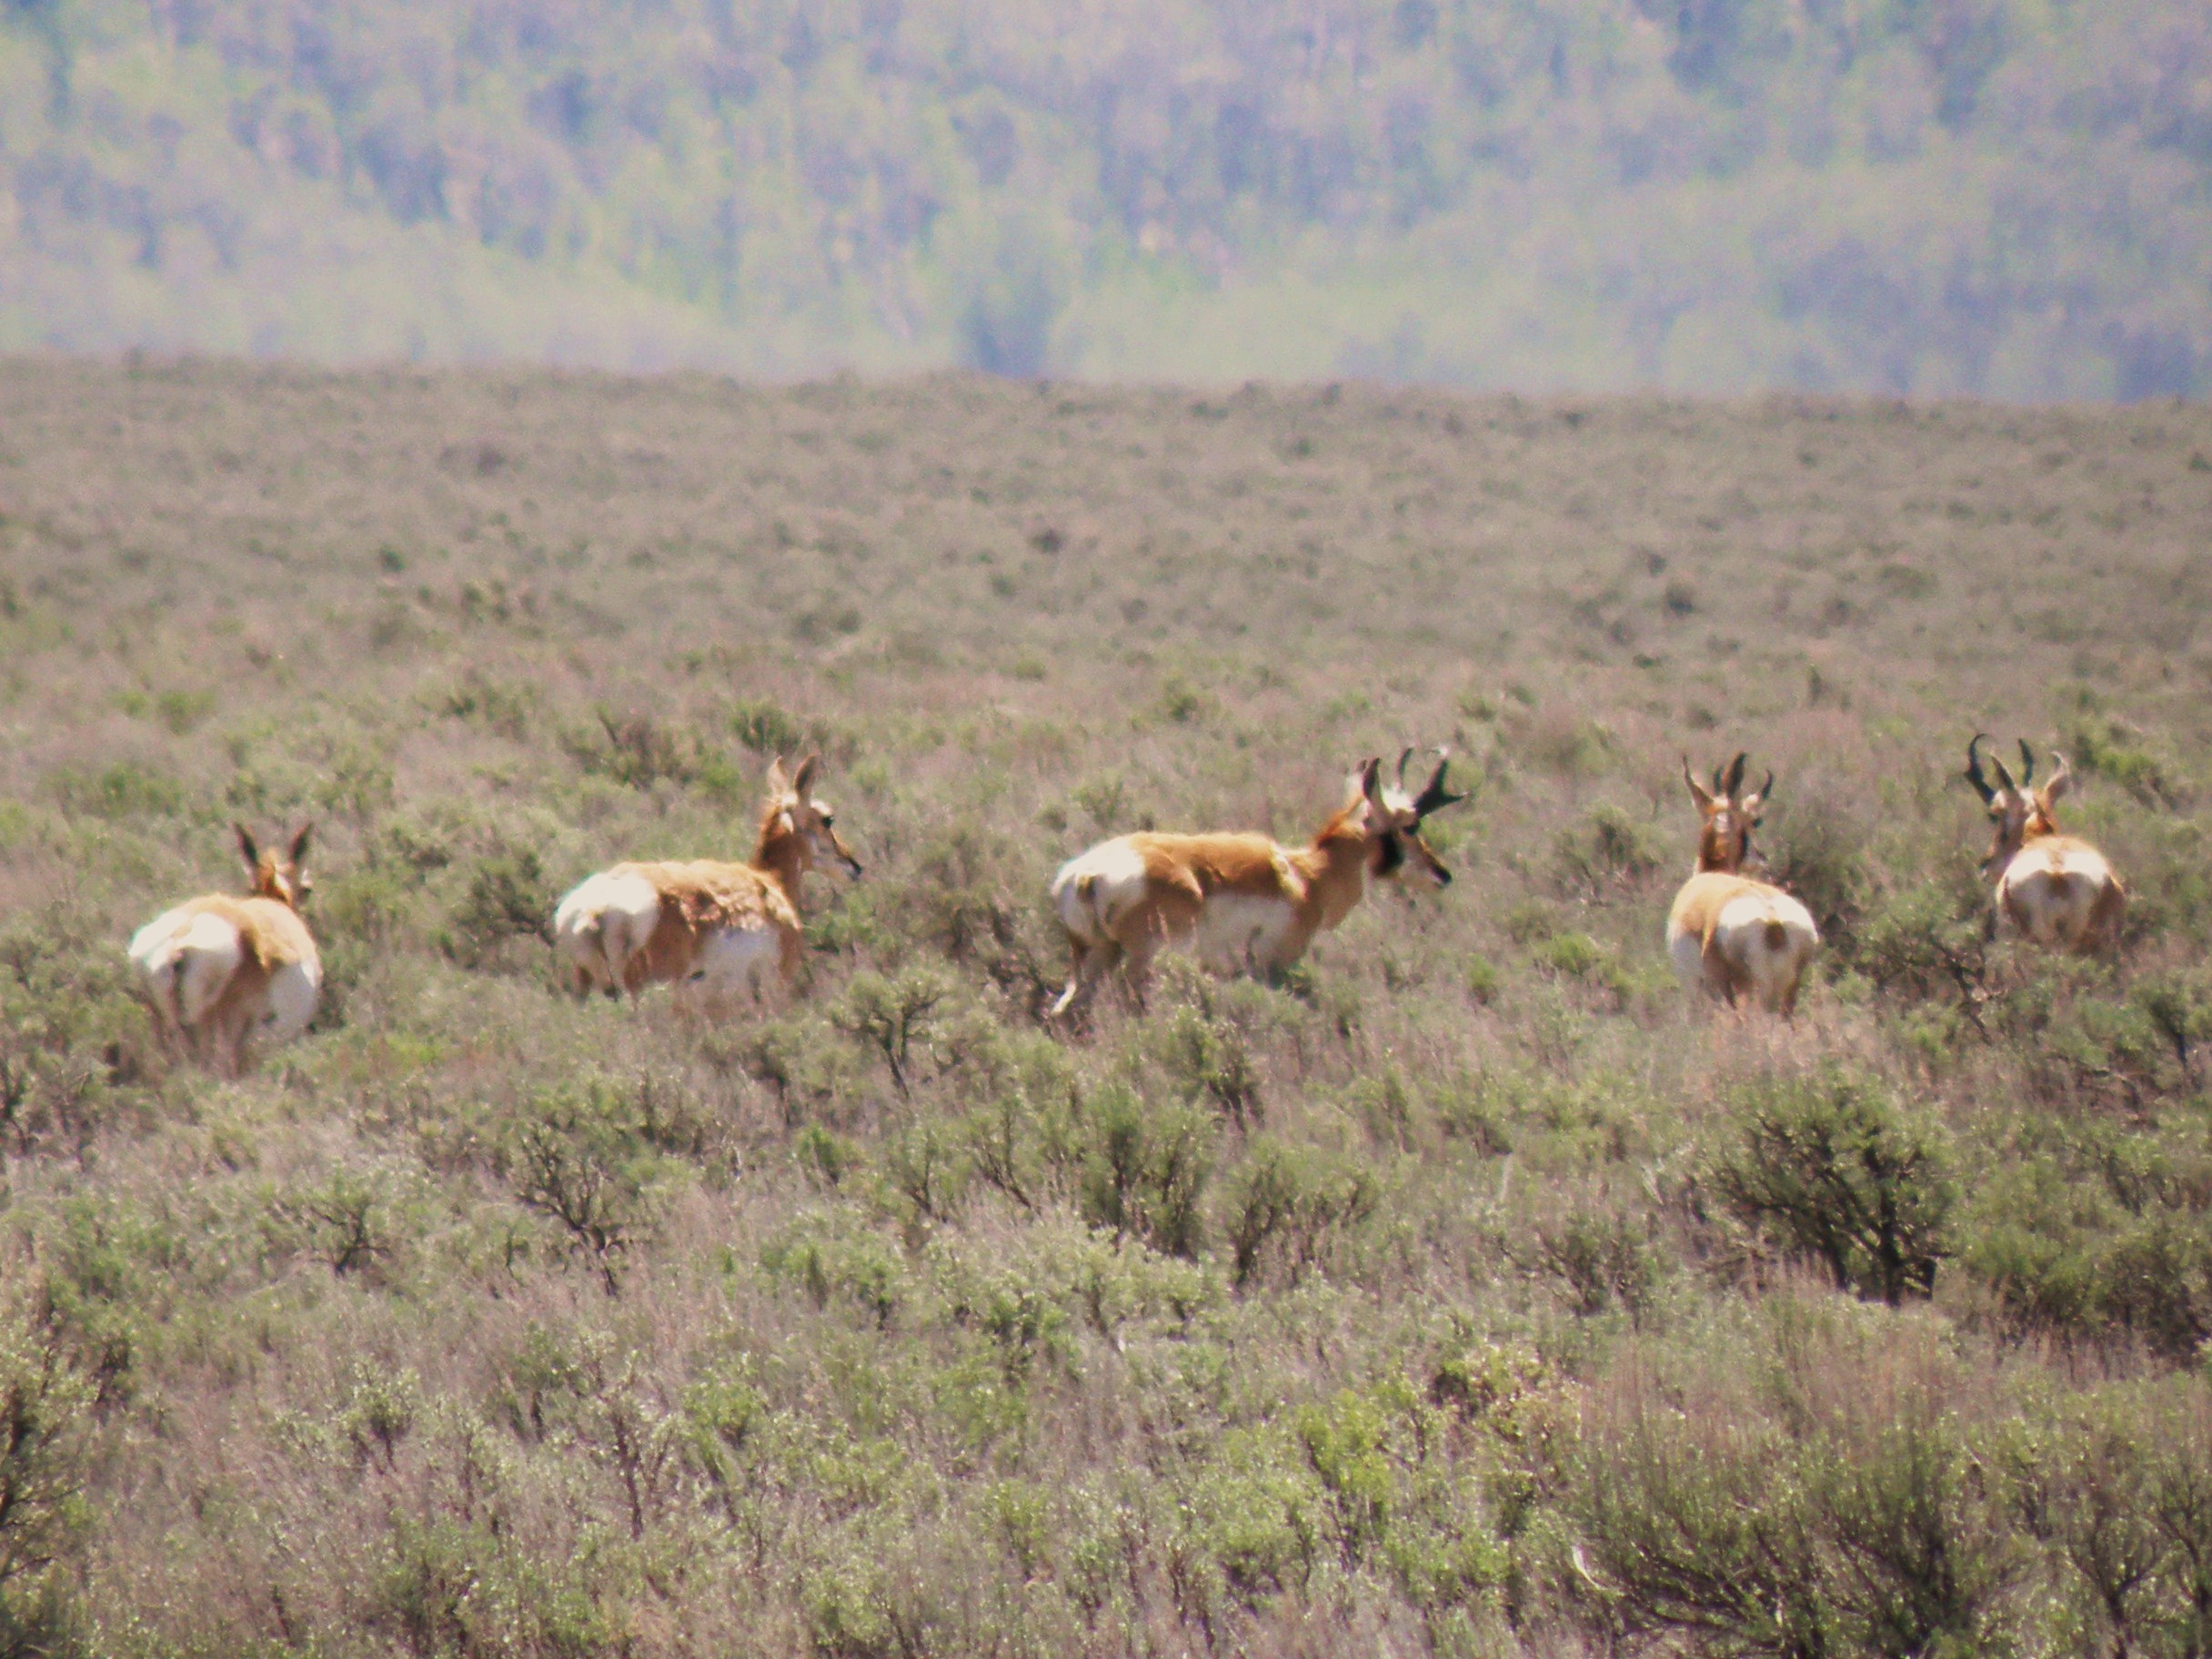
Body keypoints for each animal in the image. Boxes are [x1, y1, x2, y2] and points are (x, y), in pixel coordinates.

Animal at [1047, 748, 1468, 1021]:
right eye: (1410, 826)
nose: (1443, 874)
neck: (1305, 876)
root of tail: (1086, 874)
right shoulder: (1272, 966)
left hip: (1093, 958)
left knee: (1065, 1009)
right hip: (1141, 961)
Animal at [1666, 753, 1819, 1015]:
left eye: (1755, 820)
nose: (1762, 858)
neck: (1712, 873)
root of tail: (1773, 922)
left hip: (1733, 993)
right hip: (1784, 998)